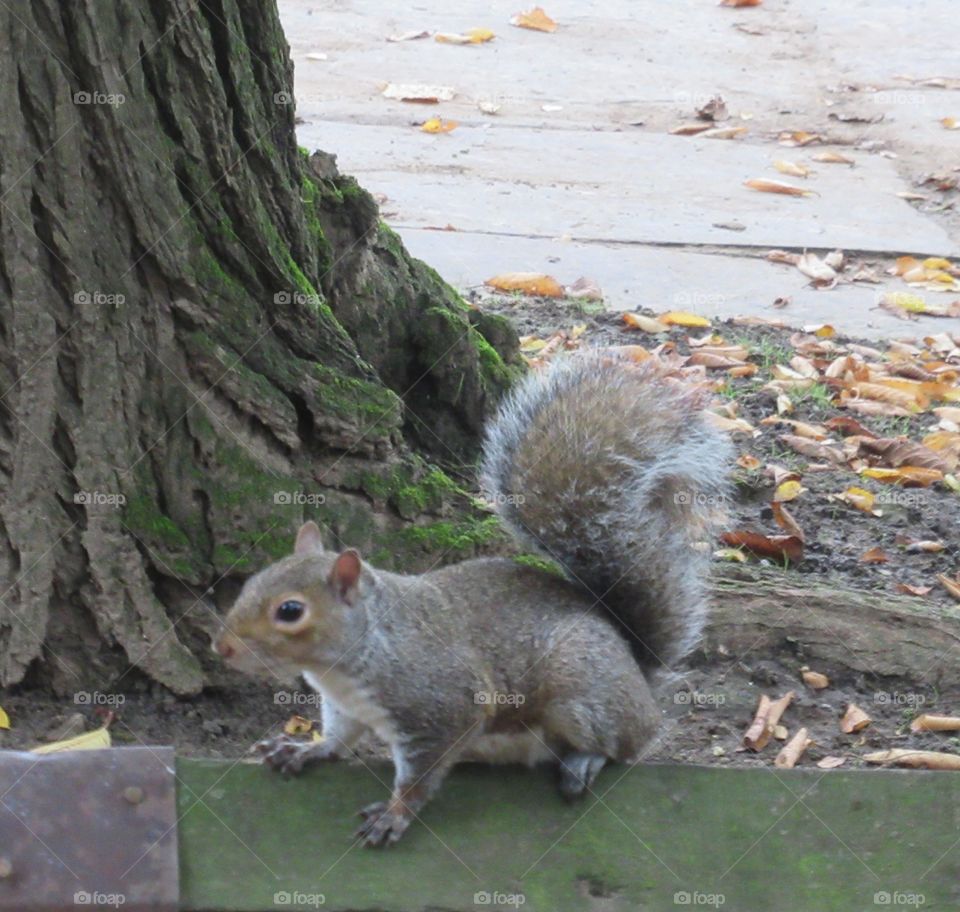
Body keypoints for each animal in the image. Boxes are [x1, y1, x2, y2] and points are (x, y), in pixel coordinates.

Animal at [214, 346, 732, 844]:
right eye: (251, 583)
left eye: (290, 611)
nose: (222, 648)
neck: (356, 654)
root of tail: (637, 669)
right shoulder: (345, 707)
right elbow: (338, 739)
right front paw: (306, 749)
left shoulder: (443, 705)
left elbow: (420, 776)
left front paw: (395, 815)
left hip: (579, 694)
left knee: (626, 743)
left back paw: (586, 760)